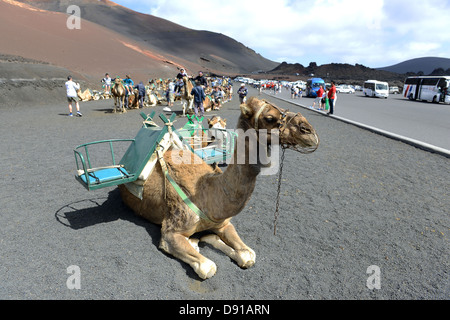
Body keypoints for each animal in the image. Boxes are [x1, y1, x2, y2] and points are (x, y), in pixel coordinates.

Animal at [118, 96, 318, 278]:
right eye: (269, 117)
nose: (309, 131)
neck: (208, 195)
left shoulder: (224, 223)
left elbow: (248, 255)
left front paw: (210, 239)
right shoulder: (171, 232)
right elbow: (208, 267)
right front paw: (197, 243)